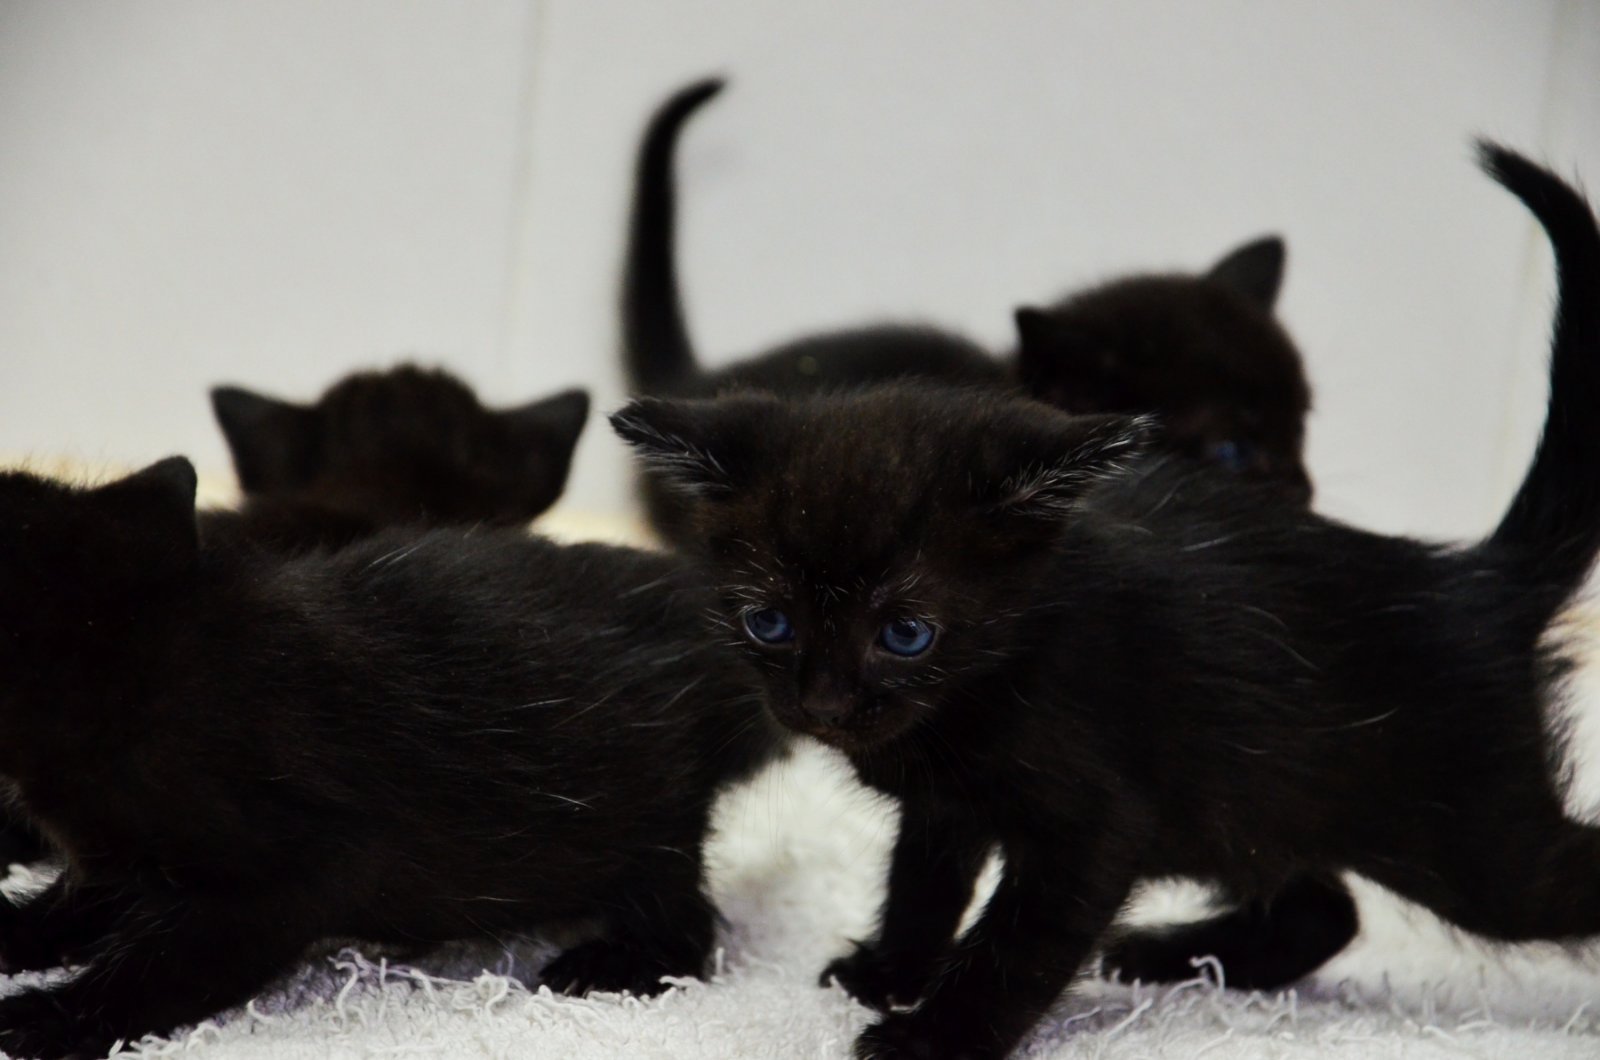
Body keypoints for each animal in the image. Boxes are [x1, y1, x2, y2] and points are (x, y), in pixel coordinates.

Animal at [0, 462, 780, 1058]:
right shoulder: (123, 851)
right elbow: (82, 903)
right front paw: (19, 936)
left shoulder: (290, 872)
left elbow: (163, 967)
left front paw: (50, 1018)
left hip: (647, 826)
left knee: (689, 923)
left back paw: (613, 964)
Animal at [611, 143, 1600, 1059]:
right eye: (768, 621)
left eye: (906, 633)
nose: (819, 703)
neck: (981, 687)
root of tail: (1477, 580)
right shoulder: (946, 803)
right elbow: (922, 883)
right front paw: (890, 972)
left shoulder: (1095, 824)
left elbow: (1017, 944)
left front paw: (933, 1035)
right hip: (1255, 801)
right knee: (1324, 904)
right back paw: (1171, 959)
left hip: (1478, 847)